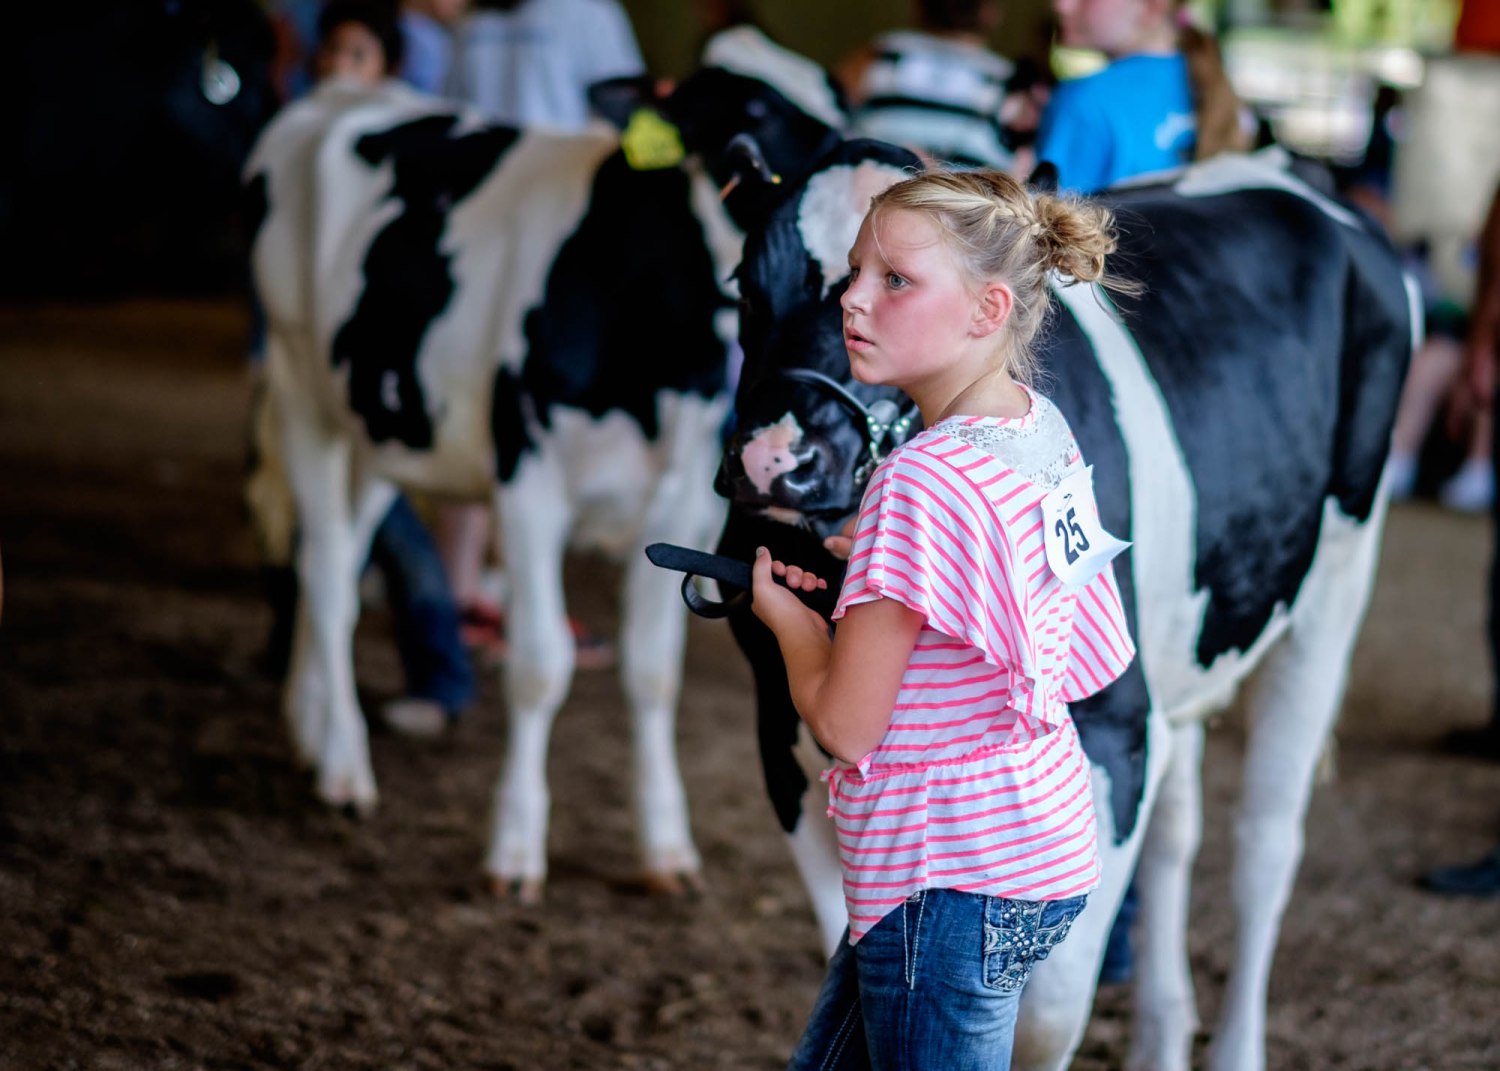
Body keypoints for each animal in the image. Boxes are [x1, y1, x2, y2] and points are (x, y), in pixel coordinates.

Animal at [244, 25, 849, 899]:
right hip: (300, 387)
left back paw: (308, 723)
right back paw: (345, 766)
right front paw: (515, 844)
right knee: (326, 569)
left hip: (380, 424)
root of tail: (335, 95)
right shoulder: (528, 480)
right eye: (752, 110)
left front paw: (665, 845)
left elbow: (652, 669)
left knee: (342, 554)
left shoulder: (680, 499)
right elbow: (538, 664)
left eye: (836, 103)